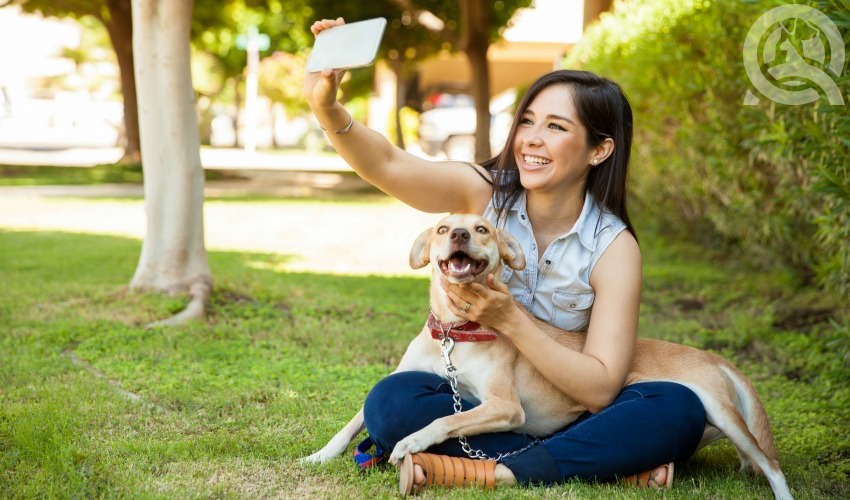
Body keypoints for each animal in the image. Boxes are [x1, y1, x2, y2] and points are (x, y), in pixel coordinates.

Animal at [304, 213, 788, 498]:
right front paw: (320, 456)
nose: (459, 233)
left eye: (482, 229)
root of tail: (713, 358)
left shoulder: (503, 406)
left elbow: (444, 419)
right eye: (443, 230)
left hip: (725, 415)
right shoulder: (403, 376)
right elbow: (354, 420)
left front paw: (412, 442)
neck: (456, 334)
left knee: (772, 465)